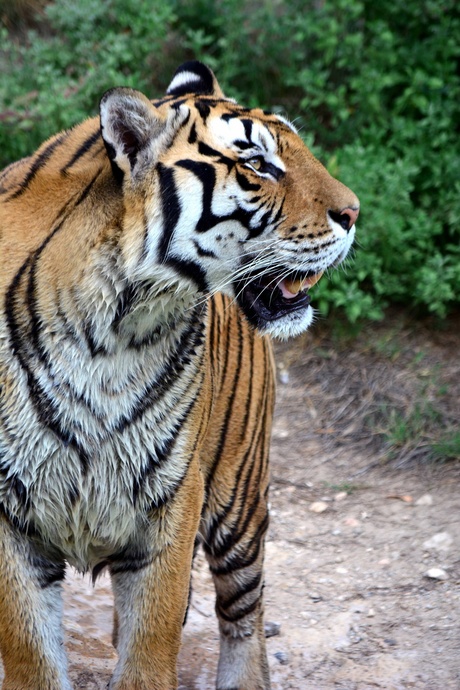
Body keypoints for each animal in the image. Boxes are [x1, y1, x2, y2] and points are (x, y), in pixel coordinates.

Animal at [0, 60, 360, 688]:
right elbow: (31, 656)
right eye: (258, 163)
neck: (112, 333)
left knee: (244, 612)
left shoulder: (169, 499)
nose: (355, 212)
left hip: (239, 497)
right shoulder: (7, 518)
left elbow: (150, 647)